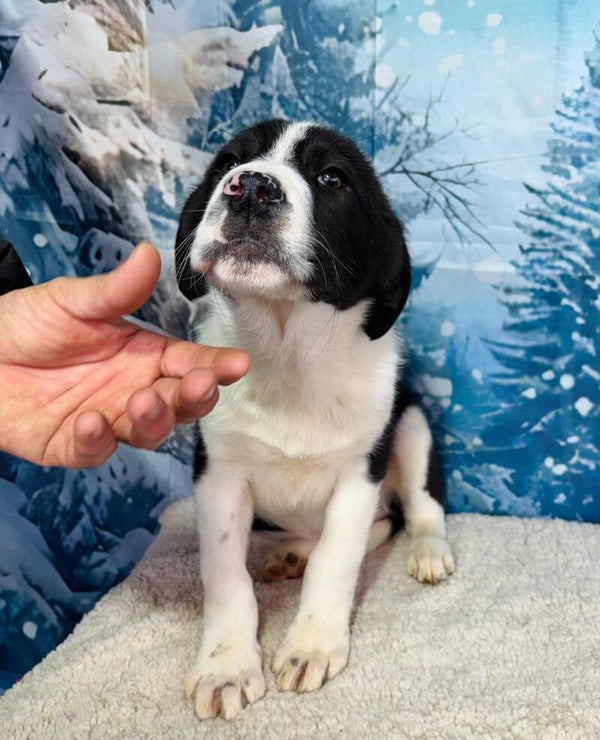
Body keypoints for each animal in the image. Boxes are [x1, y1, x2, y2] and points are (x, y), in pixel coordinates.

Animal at [174, 120, 455, 720]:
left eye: (332, 178)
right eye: (226, 162)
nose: (252, 188)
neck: (289, 353)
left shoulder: (360, 475)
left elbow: (337, 557)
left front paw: (312, 645)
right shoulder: (218, 475)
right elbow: (225, 572)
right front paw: (227, 664)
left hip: (412, 426)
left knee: (412, 511)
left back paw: (427, 550)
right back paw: (287, 555)